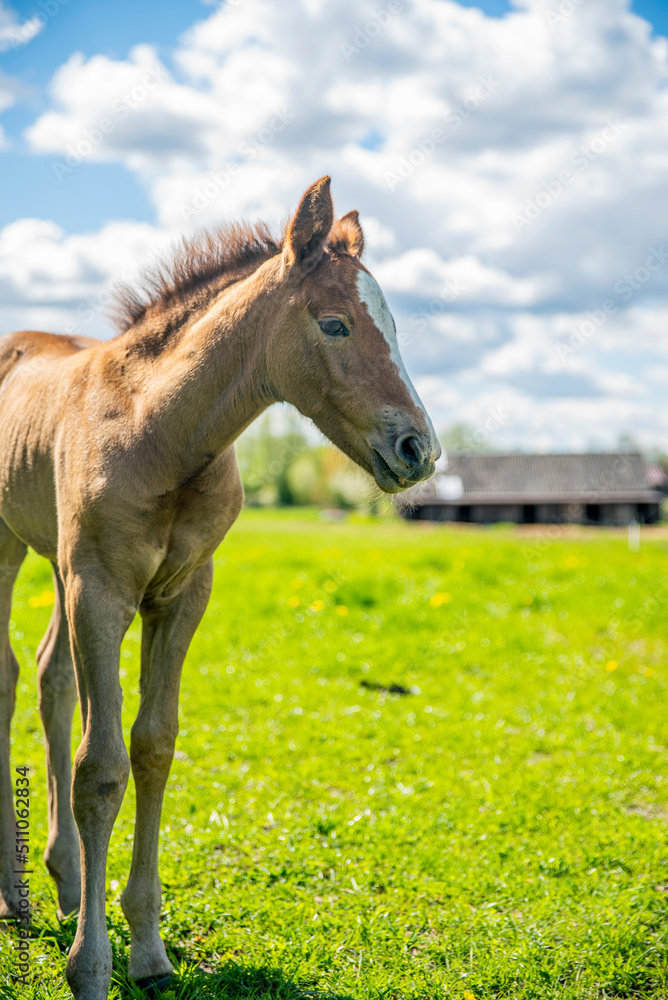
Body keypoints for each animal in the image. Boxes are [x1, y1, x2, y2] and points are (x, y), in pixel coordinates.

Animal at [0, 177, 439, 998]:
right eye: (335, 323)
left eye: (395, 324)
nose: (418, 449)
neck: (159, 433)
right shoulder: (100, 591)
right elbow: (100, 768)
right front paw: (90, 965)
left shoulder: (179, 595)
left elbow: (152, 746)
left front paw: (147, 949)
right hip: (17, 549)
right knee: (15, 676)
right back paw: (16, 895)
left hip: (57, 563)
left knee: (48, 677)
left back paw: (66, 881)